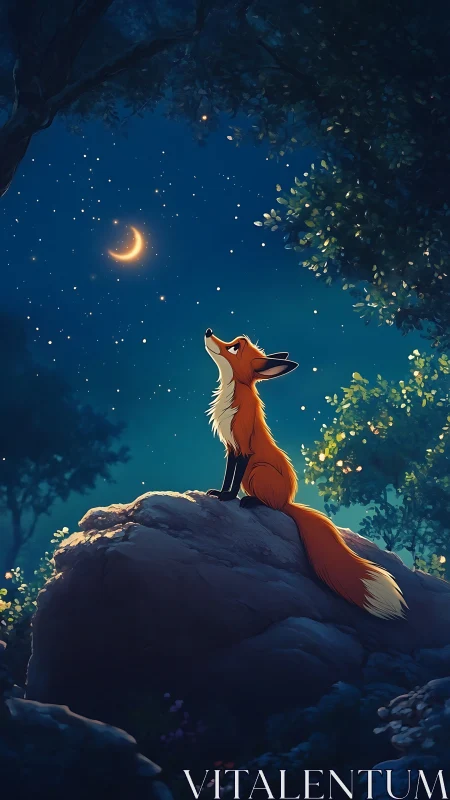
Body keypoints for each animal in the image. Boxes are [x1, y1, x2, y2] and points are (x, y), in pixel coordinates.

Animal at [204, 328, 407, 620]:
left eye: (234, 348)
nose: (208, 331)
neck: (233, 396)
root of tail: (290, 499)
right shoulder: (231, 448)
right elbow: (227, 475)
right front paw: (219, 492)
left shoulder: (243, 448)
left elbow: (234, 479)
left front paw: (228, 497)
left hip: (258, 473)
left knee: (273, 505)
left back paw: (252, 501)